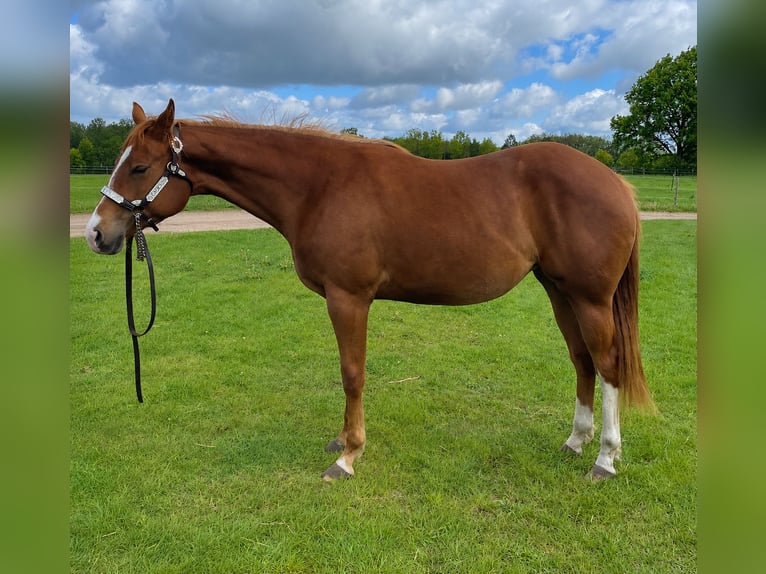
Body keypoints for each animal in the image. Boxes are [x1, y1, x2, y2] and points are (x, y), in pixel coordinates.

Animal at [86, 99, 654, 481]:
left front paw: (348, 455)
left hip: (589, 298)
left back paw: (605, 459)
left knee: (607, 366)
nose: (96, 233)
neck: (320, 187)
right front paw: (342, 440)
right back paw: (575, 442)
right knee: (582, 361)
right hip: (560, 292)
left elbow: (352, 373)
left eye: (140, 167)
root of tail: (616, 184)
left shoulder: (349, 298)